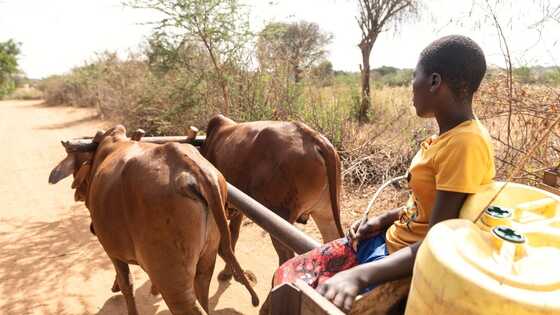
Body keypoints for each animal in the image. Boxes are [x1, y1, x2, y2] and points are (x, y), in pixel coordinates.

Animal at [48, 126, 258, 315]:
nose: (77, 192)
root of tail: (195, 171)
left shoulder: (112, 251)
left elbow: (127, 284)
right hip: (206, 262)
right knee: (203, 292)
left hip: (174, 283)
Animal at [199, 116, 344, 282]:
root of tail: (314, 137)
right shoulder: (239, 208)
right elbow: (233, 235)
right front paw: (228, 273)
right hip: (325, 213)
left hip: (279, 221)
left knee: (286, 256)